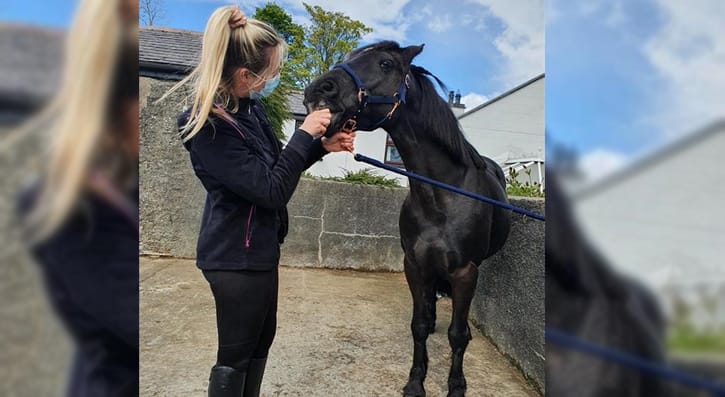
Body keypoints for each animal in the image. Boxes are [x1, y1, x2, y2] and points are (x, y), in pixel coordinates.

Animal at [302, 41, 512, 396]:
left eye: (385, 63)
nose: (319, 89)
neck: (443, 195)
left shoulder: (465, 271)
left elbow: (458, 334)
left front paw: (456, 385)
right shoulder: (414, 265)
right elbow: (419, 326)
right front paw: (416, 380)